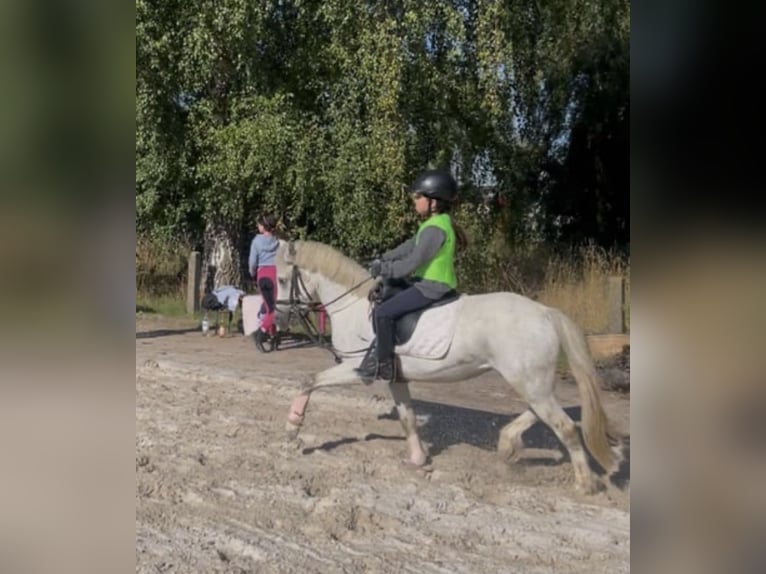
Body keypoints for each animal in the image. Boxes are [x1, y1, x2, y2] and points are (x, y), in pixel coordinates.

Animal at [276, 240, 622, 494]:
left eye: (281, 279)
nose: (279, 318)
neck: (355, 306)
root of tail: (546, 313)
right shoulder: (395, 377)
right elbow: (407, 417)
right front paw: (418, 459)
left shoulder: (356, 370)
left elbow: (309, 380)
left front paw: (293, 430)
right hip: (531, 382)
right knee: (543, 414)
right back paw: (508, 444)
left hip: (529, 381)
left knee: (564, 426)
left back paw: (584, 484)